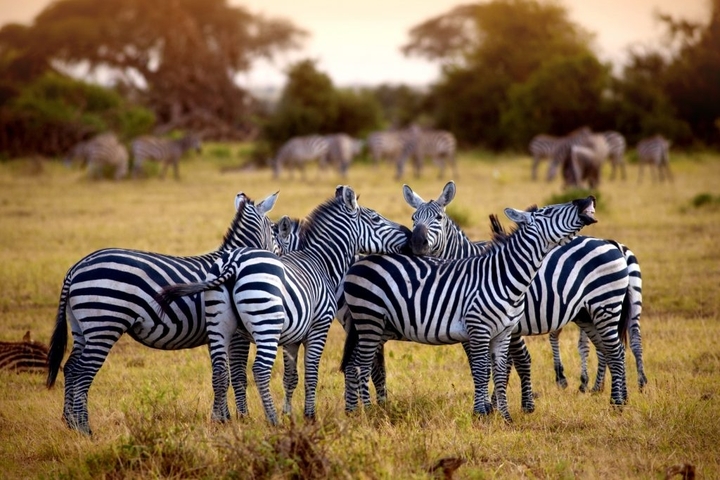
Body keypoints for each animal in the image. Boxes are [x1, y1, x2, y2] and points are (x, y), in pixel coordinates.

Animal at [46, 190, 280, 435]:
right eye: (275, 230)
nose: (281, 256)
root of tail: (76, 267)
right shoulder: (233, 335)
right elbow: (236, 374)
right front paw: (239, 419)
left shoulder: (216, 335)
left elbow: (220, 371)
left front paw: (224, 417)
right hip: (104, 324)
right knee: (82, 372)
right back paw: (85, 428)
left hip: (82, 326)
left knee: (71, 368)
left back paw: (70, 422)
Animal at [155, 186, 411, 424]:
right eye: (376, 218)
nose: (409, 234)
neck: (321, 262)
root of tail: (233, 263)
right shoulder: (319, 327)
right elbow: (311, 373)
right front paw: (309, 416)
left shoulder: (291, 337)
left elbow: (290, 377)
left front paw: (289, 415)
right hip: (265, 324)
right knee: (259, 370)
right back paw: (272, 421)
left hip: (219, 324)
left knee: (219, 371)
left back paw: (222, 422)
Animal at [341, 194, 598, 422]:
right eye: (548, 211)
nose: (586, 199)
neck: (503, 276)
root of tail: (362, 259)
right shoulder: (478, 329)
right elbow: (481, 370)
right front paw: (481, 413)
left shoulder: (503, 332)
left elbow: (499, 371)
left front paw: (505, 418)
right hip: (369, 320)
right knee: (359, 367)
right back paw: (365, 413)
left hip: (373, 326)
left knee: (354, 365)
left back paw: (353, 412)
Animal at [403, 181, 643, 404]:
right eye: (414, 218)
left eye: (439, 217)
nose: (417, 243)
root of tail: (611, 243)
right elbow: (482, 365)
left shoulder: (509, 327)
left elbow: (507, 363)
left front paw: (497, 403)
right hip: (587, 315)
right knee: (610, 349)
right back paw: (615, 393)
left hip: (606, 304)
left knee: (619, 347)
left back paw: (619, 398)